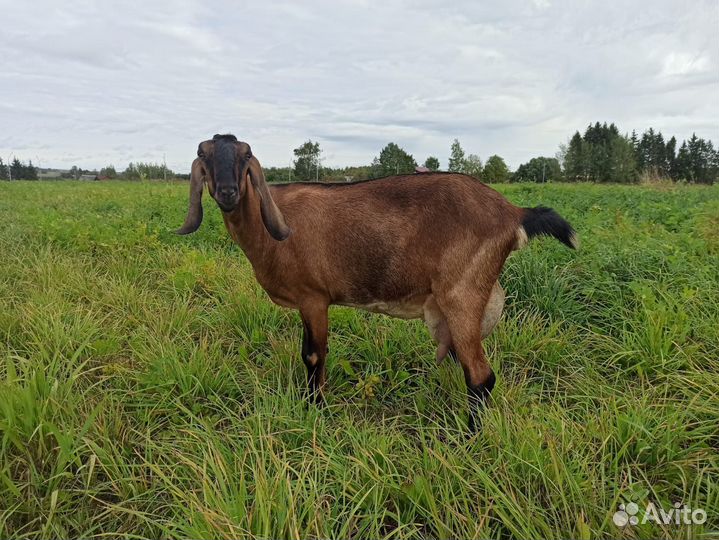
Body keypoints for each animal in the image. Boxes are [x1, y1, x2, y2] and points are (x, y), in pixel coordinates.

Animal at [177, 134, 577, 431]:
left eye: (246, 155)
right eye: (202, 153)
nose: (228, 192)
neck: (269, 228)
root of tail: (514, 213)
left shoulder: (313, 298)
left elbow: (313, 355)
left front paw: (315, 410)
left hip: (462, 295)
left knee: (481, 376)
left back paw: (468, 439)